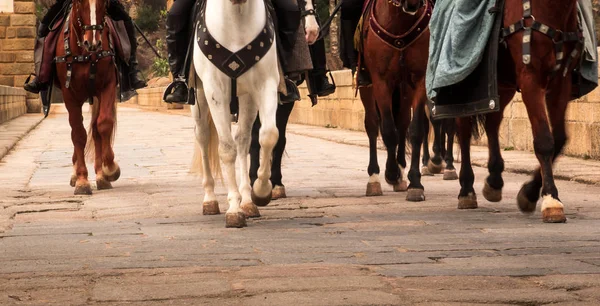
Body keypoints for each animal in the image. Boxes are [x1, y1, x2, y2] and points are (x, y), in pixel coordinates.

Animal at [56, 0, 120, 195]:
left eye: (105, 3)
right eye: (78, 2)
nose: (92, 42)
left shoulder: (107, 85)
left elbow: (103, 124)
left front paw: (109, 169)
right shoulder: (69, 94)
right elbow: (78, 134)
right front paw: (82, 181)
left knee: (95, 128)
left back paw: (101, 175)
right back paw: (76, 173)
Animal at [192, 0, 318, 227]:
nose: (311, 31)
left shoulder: (265, 85)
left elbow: (268, 136)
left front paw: (261, 191)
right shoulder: (215, 91)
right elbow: (226, 149)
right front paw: (233, 209)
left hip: (247, 99)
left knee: (243, 139)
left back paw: (247, 201)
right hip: (199, 98)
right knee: (204, 138)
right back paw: (210, 200)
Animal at [358, 0, 434, 201]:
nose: (413, 3)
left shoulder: (420, 79)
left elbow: (415, 130)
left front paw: (415, 183)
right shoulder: (381, 81)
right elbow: (388, 130)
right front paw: (391, 173)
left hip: (404, 88)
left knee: (402, 122)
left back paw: (401, 171)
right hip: (368, 87)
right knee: (372, 124)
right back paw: (374, 178)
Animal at [458, 0, 584, 222]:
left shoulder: (561, 80)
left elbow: (559, 138)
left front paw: (530, 193)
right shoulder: (530, 78)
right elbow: (544, 140)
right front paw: (551, 200)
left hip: (503, 86)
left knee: (492, 123)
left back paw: (494, 179)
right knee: (463, 130)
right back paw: (466, 189)